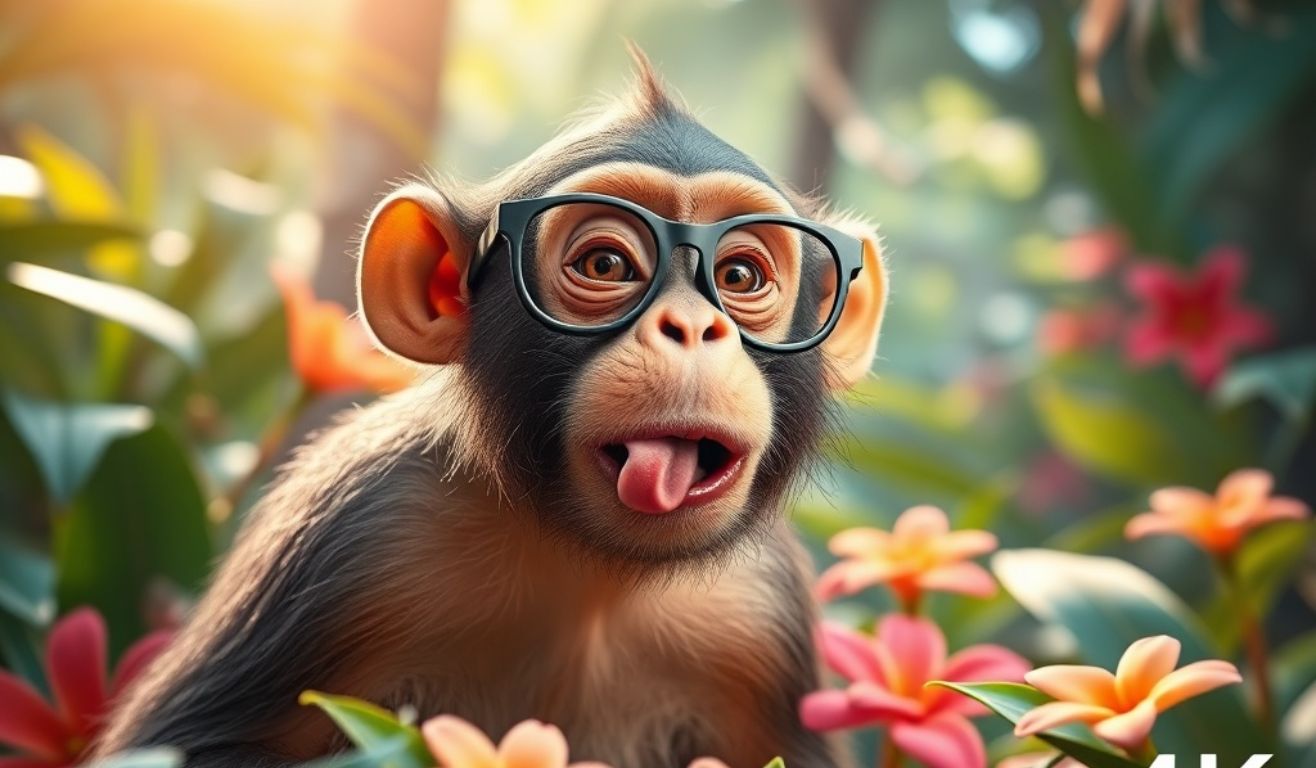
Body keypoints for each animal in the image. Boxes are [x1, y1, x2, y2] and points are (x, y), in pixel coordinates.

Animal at [92, 51, 888, 768]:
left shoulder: (761, 615)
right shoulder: (355, 529)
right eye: (606, 265)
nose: (691, 328)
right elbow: (187, 745)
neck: (589, 567)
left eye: (741, 276)